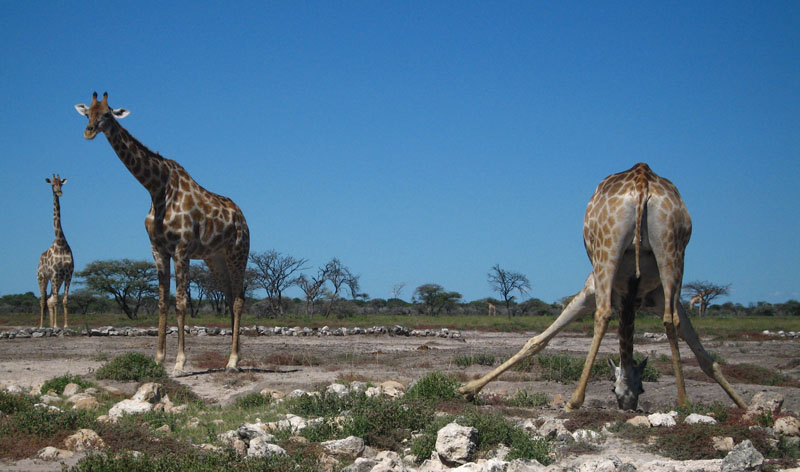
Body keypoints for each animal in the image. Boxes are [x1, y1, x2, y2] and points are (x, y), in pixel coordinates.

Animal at [76, 93, 250, 372]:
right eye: (87, 113)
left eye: (107, 114)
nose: (89, 131)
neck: (156, 188)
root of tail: (242, 217)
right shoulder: (157, 249)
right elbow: (161, 303)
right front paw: (158, 358)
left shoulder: (181, 249)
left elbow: (180, 303)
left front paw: (179, 362)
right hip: (216, 258)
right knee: (230, 295)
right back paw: (231, 358)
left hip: (238, 253)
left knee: (238, 299)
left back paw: (233, 361)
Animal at [460, 162, 748, 410]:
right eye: (639, 388)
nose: (628, 405)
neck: (632, 293)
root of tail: (643, 181)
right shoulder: (657, 297)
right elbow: (702, 355)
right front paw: (743, 406)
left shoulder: (589, 289)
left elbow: (537, 340)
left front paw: (468, 388)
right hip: (672, 249)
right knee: (671, 319)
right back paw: (684, 401)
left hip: (606, 252)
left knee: (604, 314)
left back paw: (574, 400)